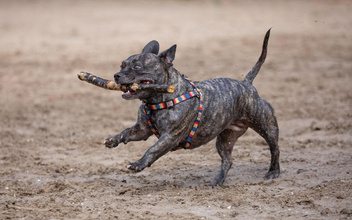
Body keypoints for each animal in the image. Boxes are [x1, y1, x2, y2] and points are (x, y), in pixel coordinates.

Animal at [104, 29, 280, 186]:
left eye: (137, 67)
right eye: (122, 65)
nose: (116, 75)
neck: (158, 99)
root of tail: (247, 85)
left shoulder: (170, 136)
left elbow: (153, 150)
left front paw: (138, 164)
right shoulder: (142, 130)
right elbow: (127, 132)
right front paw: (114, 139)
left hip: (267, 127)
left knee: (275, 148)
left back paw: (273, 172)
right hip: (225, 139)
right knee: (227, 160)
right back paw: (217, 181)